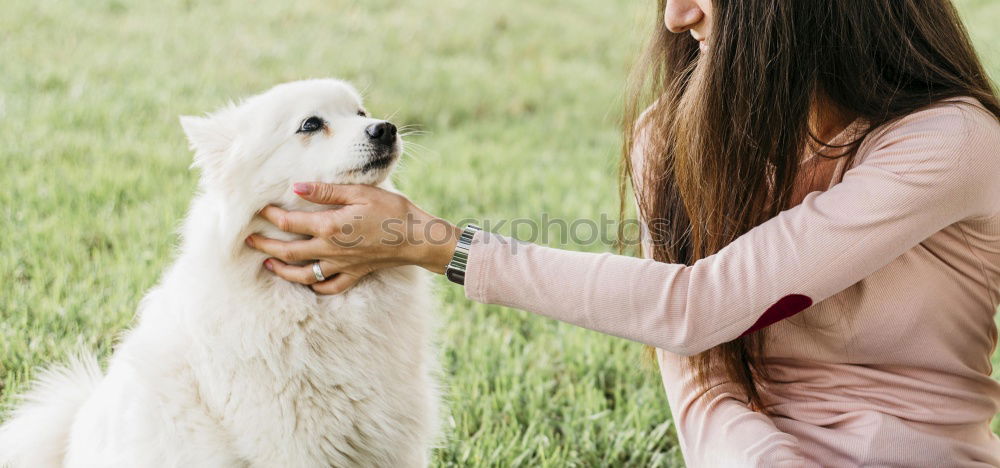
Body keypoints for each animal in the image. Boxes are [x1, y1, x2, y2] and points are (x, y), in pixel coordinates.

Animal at [0, 78, 438, 466]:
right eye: (311, 124)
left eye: (360, 112)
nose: (385, 128)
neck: (318, 301)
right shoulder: (292, 441)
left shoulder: (394, 435)